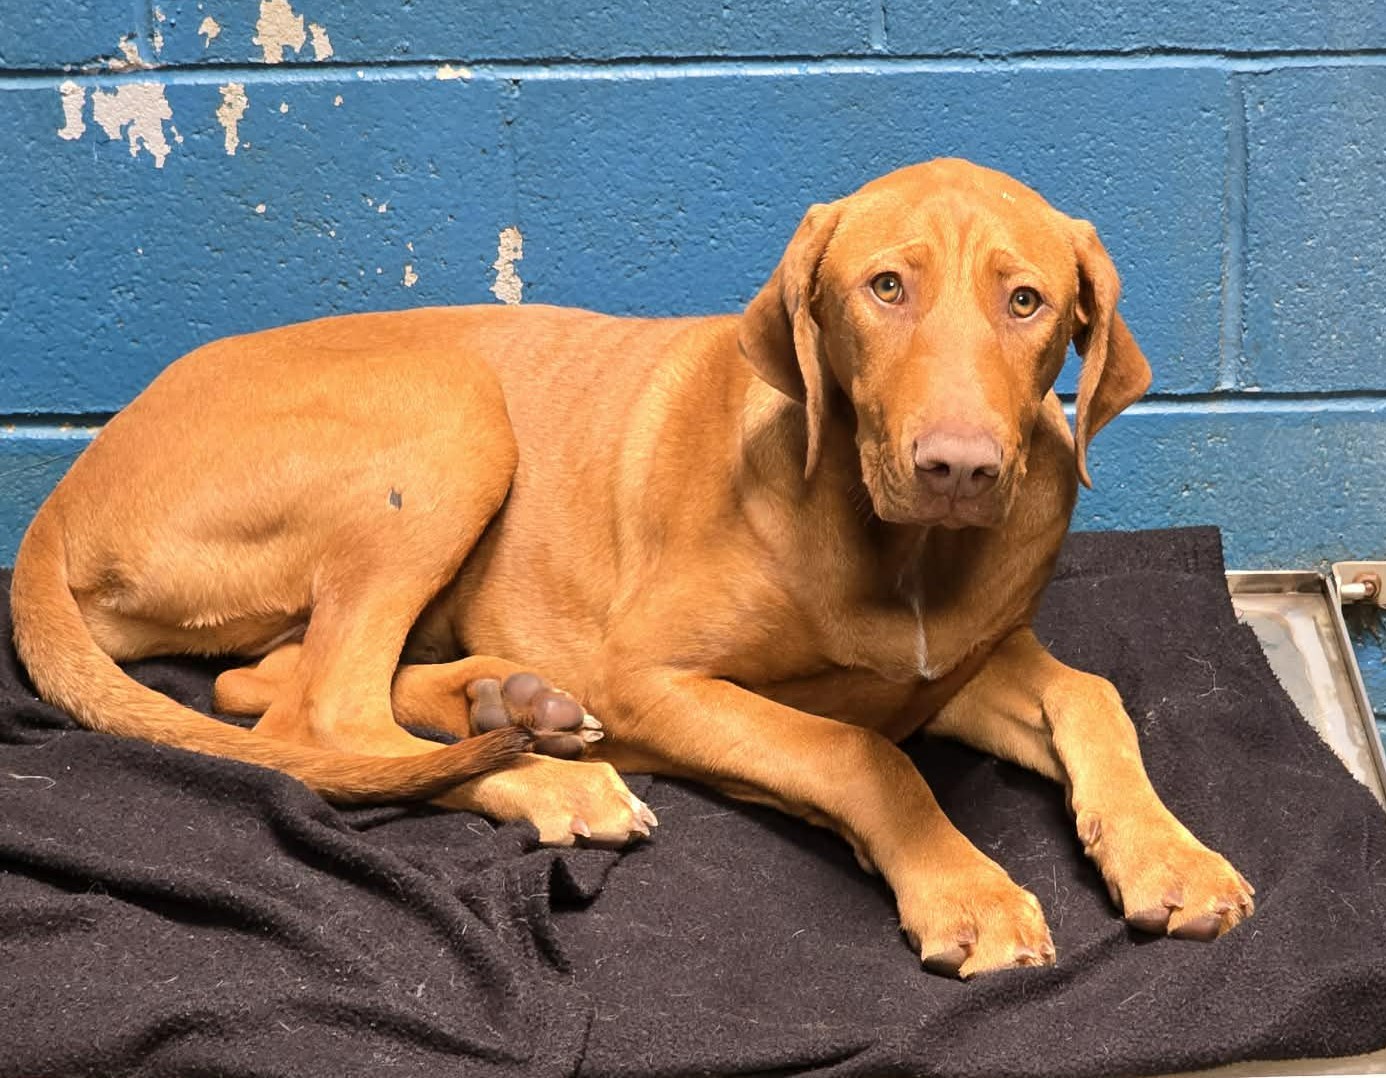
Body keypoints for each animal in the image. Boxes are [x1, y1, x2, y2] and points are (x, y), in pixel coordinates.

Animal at [11, 158, 1253, 977]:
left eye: (1028, 300)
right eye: (885, 288)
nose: (960, 468)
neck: (897, 546)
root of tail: (68, 491)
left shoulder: (953, 667)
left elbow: (1091, 699)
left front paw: (1170, 856)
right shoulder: (651, 677)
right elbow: (859, 754)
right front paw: (966, 885)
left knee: (262, 687)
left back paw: (510, 701)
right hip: (453, 415)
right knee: (319, 717)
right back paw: (553, 773)